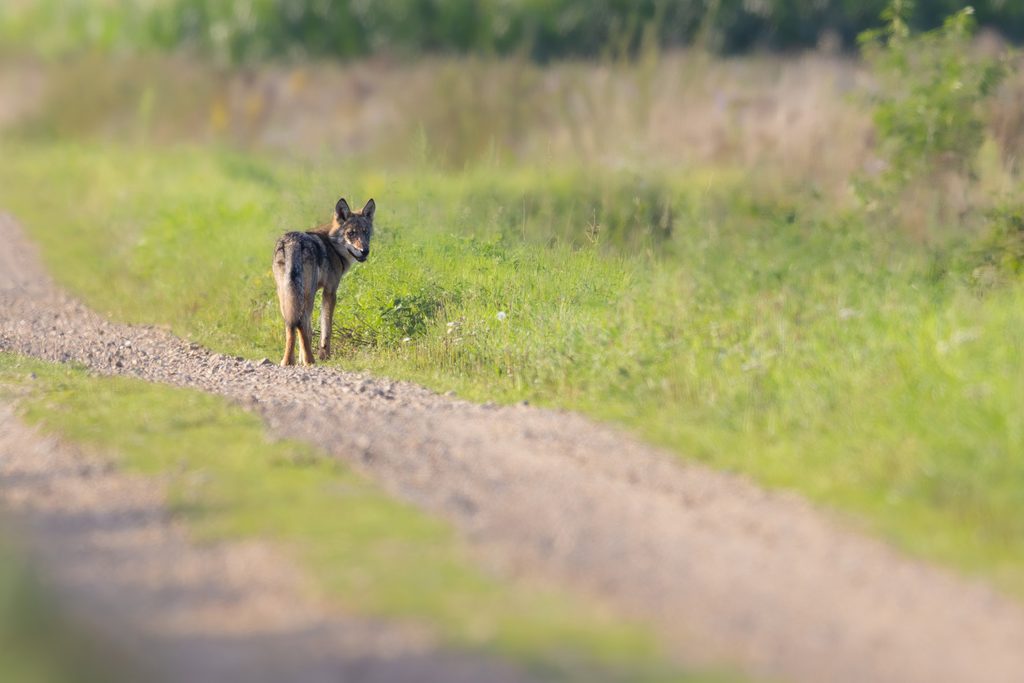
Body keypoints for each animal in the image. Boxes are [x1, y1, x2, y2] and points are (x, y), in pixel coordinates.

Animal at [270, 197, 374, 366]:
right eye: (351, 233)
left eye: (366, 232)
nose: (365, 251)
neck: (332, 246)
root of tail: (292, 241)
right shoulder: (330, 292)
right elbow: (326, 328)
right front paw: (325, 355)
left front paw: (301, 359)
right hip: (308, 295)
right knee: (302, 324)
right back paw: (309, 360)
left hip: (285, 295)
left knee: (291, 324)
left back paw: (288, 361)